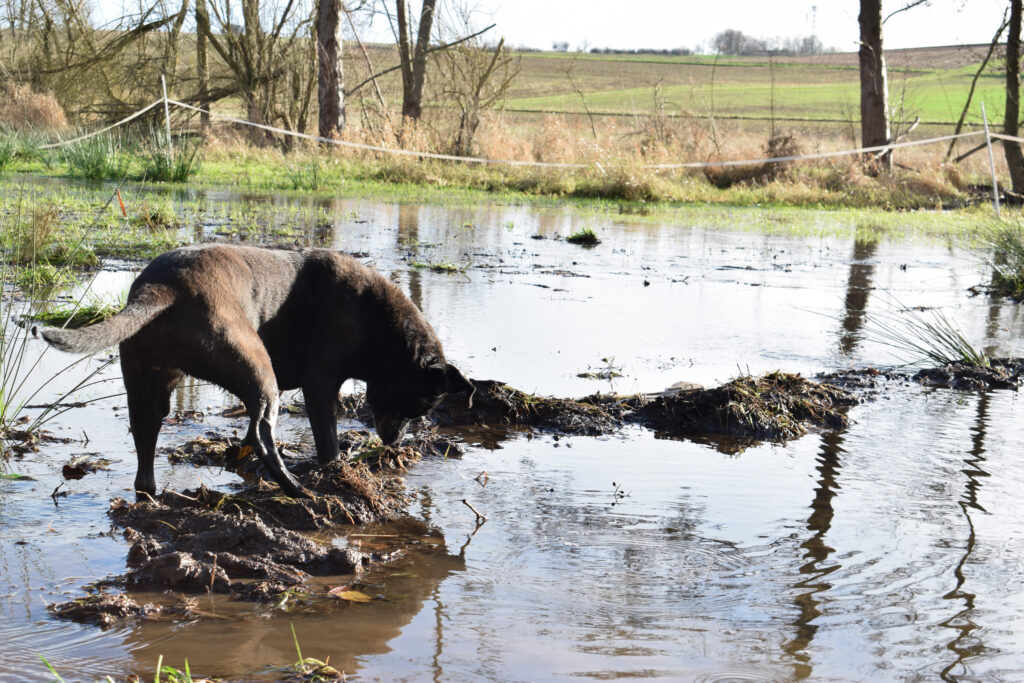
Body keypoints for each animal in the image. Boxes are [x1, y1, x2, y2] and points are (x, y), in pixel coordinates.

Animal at [40, 244, 471, 497]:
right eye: (419, 406)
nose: (395, 443)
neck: (383, 328)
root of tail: (162, 289)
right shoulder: (320, 384)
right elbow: (327, 440)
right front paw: (336, 473)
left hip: (147, 386)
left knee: (146, 448)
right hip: (259, 370)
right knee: (263, 434)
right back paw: (297, 489)